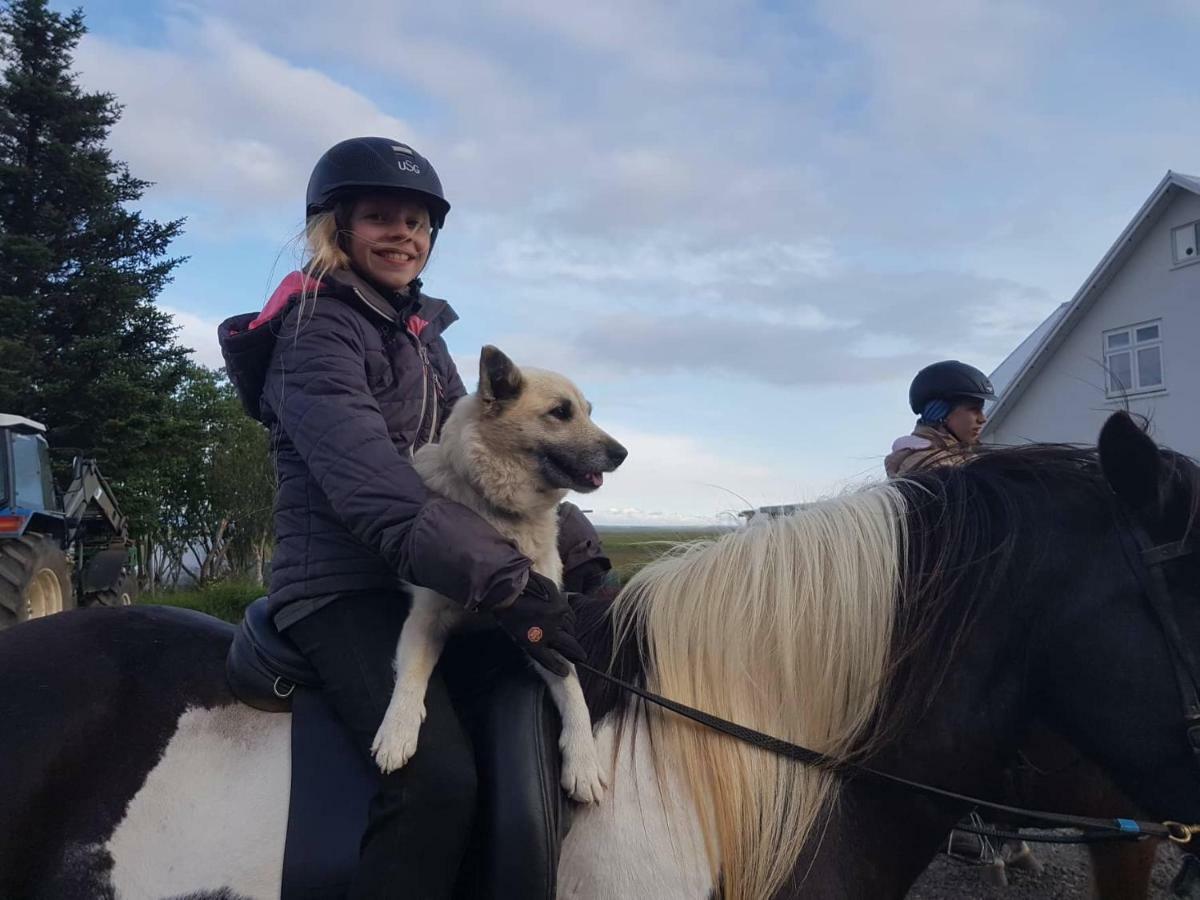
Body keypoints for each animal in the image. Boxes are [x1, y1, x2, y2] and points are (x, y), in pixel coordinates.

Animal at [369, 345, 624, 801]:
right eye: (561, 412)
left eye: (588, 411)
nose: (622, 453)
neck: (500, 514)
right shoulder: (425, 621)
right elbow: (411, 677)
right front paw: (397, 731)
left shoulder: (545, 629)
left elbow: (574, 690)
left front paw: (583, 760)